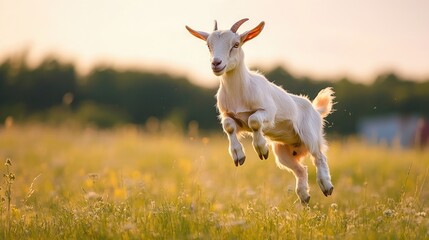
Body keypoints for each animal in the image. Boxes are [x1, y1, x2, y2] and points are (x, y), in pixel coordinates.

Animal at [184, 18, 334, 203]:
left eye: (236, 44)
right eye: (208, 45)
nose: (216, 63)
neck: (239, 91)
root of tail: (316, 109)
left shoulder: (268, 112)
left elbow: (254, 121)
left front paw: (262, 149)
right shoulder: (230, 115)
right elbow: (229, 126)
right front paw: (238, 155)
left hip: (310, 135)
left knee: (319, 157)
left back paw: (326, 186)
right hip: (283, 151)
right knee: (301, 169)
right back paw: (304, 196)